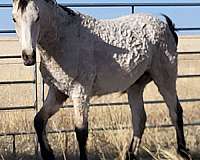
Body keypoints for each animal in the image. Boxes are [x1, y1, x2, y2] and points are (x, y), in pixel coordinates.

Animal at [12, 0, 192, 159]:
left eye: (37, 17)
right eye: (14, 19)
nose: (28, 57)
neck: (64, 38)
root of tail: (167, 26)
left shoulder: (80, 93)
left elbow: (81, 132)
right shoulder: (57, 92)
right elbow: (38, 120)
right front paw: (48, 154)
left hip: (165, 79)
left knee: (175, 112)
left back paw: (182, 153)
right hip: (136, 86)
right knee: (139, 119)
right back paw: (130, 155)